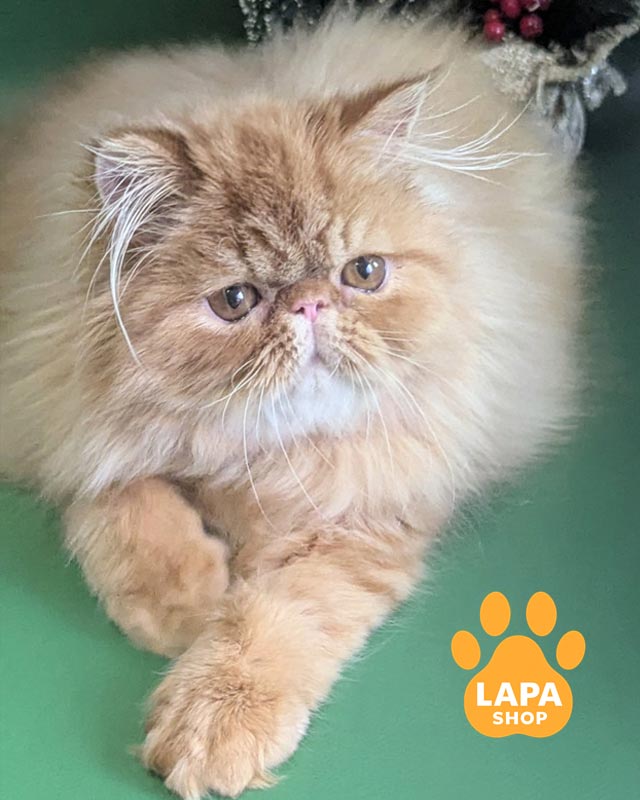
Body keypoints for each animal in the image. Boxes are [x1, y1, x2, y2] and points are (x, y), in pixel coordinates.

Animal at [0, 7, 584, 799]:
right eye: (236, 300)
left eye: (363, 273)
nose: (309, 304)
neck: (255, 454)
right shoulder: (50, 409)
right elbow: (117, 499)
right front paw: (183, 598)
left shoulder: (362, 518)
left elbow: (279, 617)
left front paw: (215, 718)